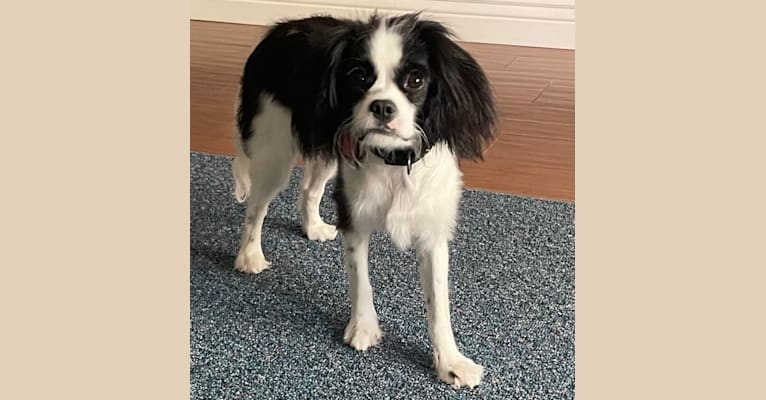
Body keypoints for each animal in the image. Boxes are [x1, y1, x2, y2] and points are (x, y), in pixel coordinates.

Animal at [232, 13, 498, 390]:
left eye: (416, 79)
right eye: (358, 77)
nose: (382, 107)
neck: (395, 161)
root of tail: (280, 28)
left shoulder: (432, 233)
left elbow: (438, 303)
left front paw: (450, 362)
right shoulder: (355, 218)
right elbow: (361, 280)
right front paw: (363, 328)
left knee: (308, 190)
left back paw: (313, 227)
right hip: (275, 150)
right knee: (256, 207)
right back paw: (249, 256)